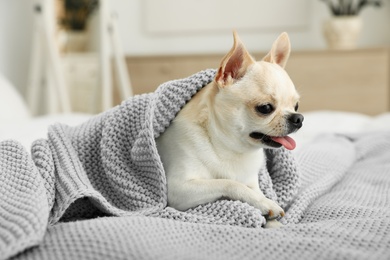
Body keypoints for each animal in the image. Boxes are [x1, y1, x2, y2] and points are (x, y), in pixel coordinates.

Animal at [157, 31, 304, 228]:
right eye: (265, 108)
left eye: (296, 106)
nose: (298, 118)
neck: (229, 148)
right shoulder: (179, 189)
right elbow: (230, 183)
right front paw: (265, 204)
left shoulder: (252, 181)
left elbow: (255, 192)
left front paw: (273, 220)